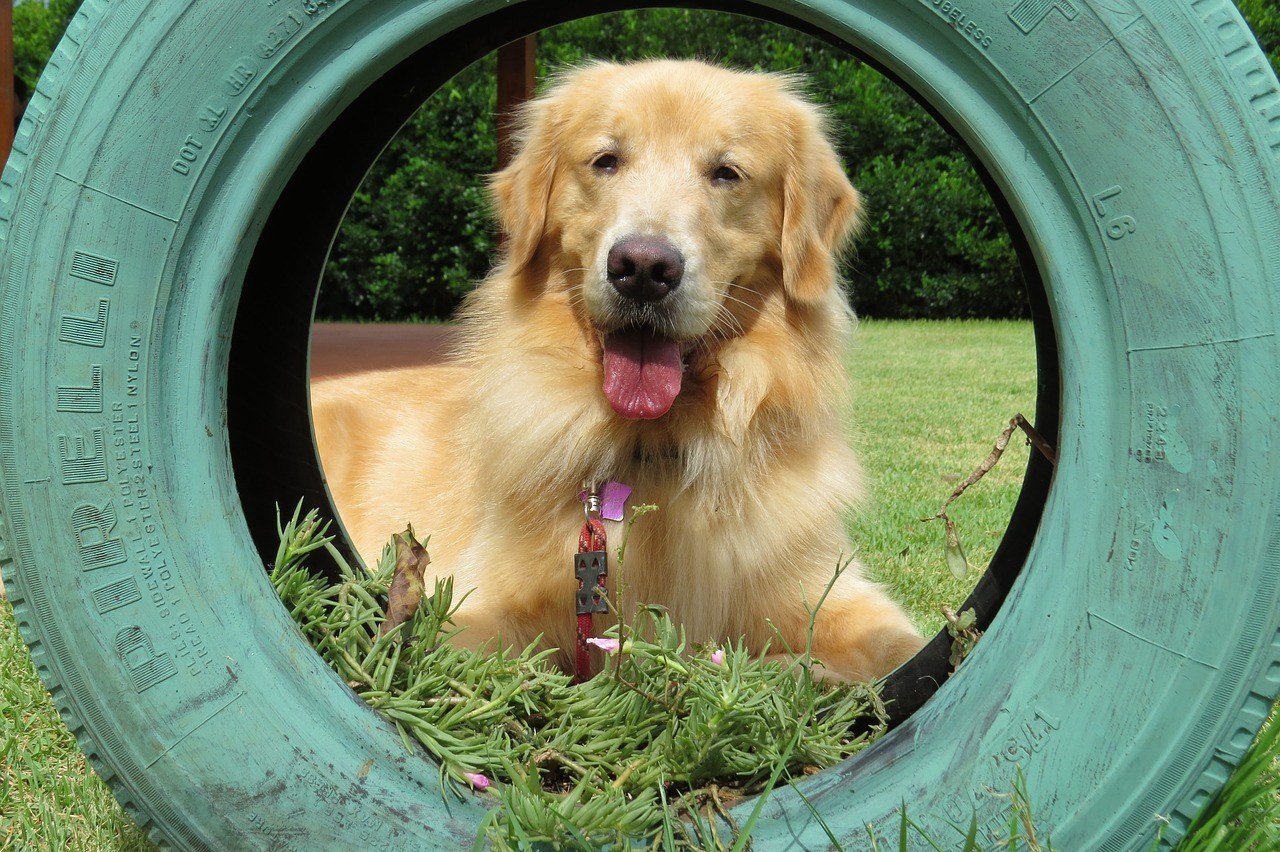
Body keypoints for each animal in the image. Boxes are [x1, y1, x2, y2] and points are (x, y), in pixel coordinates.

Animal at [314, 58, 926, 685]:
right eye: (606, 161)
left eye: (726, 173)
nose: (643, 268)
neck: (655, 449)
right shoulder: (486, 606)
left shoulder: (837, 595)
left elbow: (892, 649)